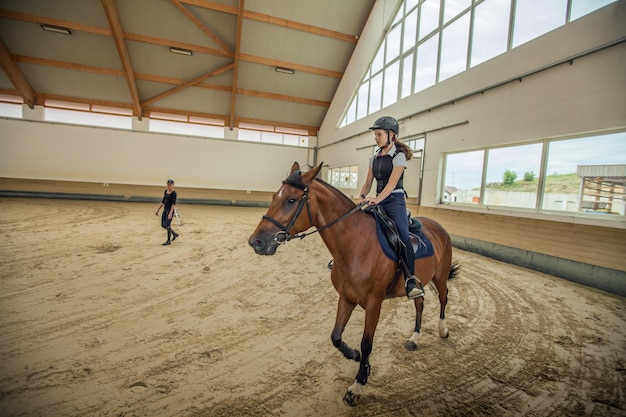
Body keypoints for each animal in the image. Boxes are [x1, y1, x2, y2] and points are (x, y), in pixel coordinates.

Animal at [249, 162, 458, 406]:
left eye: (291, 200)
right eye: (275, 196)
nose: (256, 242)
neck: (356, 245)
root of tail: (438, 227)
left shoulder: (374, 304)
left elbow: (366, 343)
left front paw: (358, 384)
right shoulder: (346, 298)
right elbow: (336, 336)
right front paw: (355, 357)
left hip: (440, 277)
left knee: (443, 298)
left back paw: (443, 330)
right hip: (419, 283)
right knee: (420, 303)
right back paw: (414, 339)